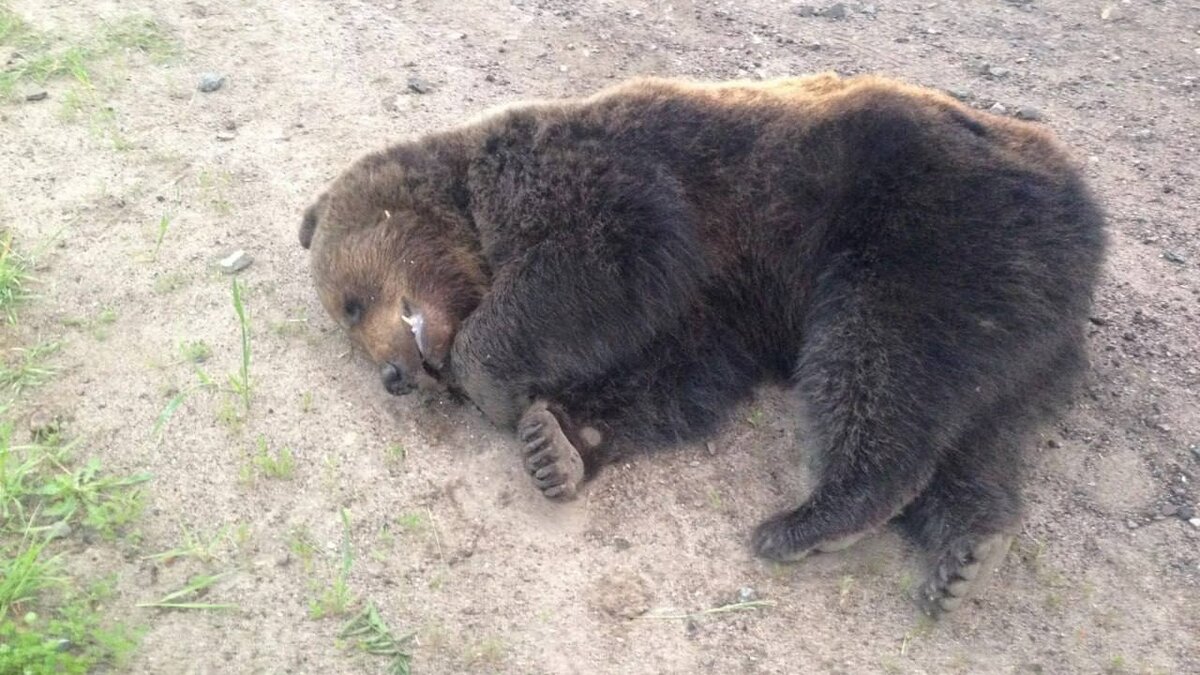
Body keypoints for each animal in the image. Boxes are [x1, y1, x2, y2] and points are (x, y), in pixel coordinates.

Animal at [300, 70, 1104, 612]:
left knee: (877, 360)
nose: (395, 375)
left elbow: (605, 256)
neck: (473, 215)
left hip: (924, 230)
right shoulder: (720, 307)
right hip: (1010, 320)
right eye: (350, 328)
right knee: (976, 419)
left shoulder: (611, 186)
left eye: (350, 305)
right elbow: (678, 377)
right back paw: (969, 549)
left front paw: (492, 384)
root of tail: (1083, 207)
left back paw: (813, 518)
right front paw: (559, 442)